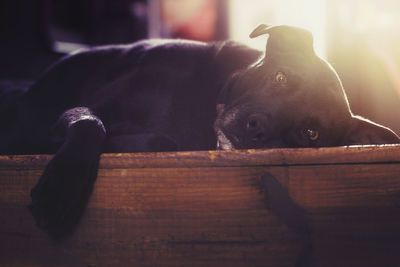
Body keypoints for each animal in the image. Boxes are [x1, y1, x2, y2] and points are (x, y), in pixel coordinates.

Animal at [1, 25, 398, 239]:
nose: (256, 129)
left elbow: (158, 138)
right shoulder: (82, 108)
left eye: (310, 133)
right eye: (281, 78)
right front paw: (61, 189)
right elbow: (89, 121)